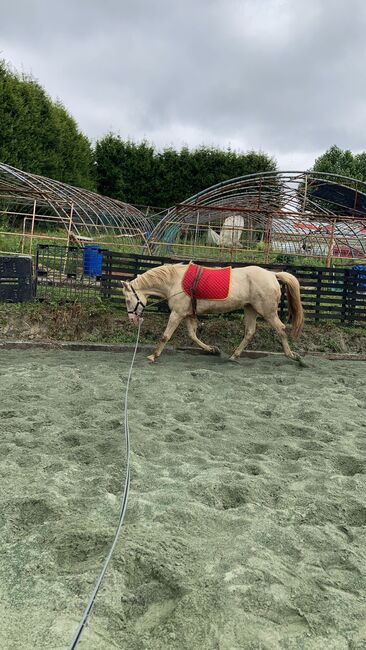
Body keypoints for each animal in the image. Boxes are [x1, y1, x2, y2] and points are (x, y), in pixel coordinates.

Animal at [121, 264, 304, 364]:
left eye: (128, 300)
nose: (133, 320)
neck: (174, 281)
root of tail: (272, 274)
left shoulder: (177, 313)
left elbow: (165, 336)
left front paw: (153, 356)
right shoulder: (188, 314)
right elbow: (193, 335)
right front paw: (212, 349)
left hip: (268, 312)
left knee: (281, 329)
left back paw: (293, 356)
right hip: (250, 309)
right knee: (250, 332)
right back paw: (234, 356)